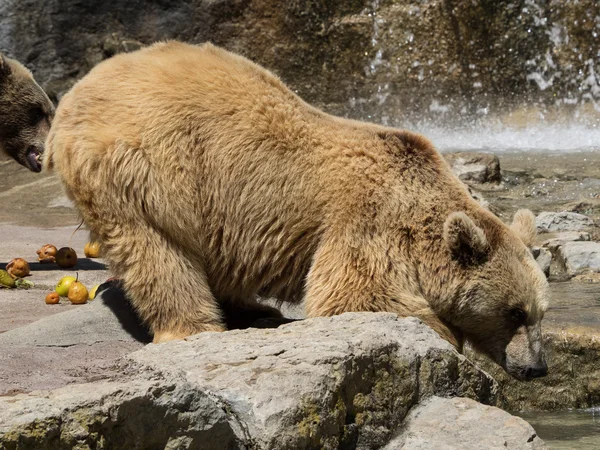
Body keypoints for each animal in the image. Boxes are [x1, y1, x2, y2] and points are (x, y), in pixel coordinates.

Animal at [44, 41, 552, 380]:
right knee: (158, 252)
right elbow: (353, 297)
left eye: (539, 313)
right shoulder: (367, 221)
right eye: (514, 312)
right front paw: (441, 335)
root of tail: (74, 94)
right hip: (145, 171)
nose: (537, 368)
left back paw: (252, 307)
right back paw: (195, 327)